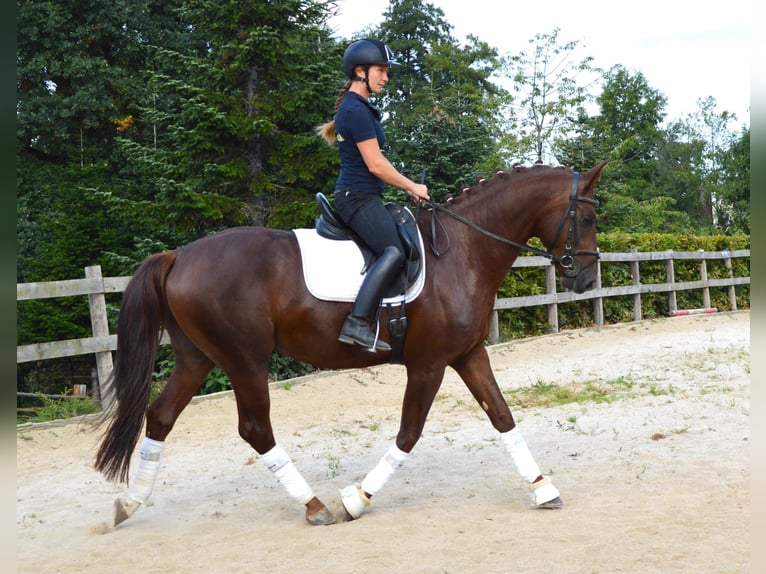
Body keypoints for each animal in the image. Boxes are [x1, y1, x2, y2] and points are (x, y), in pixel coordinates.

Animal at [94, 161, 608, 528]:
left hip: (198, 357)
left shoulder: (467, 355)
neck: (463, 250)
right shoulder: (428, 364)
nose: (585, 279)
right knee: (255, 429)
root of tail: (180, 255)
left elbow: (502, 415)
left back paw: (129, 504)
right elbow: (409, 433)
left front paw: (542, 488)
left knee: (160, 416)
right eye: (585, 216)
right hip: (244, 360)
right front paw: (357, 499)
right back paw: (315, 505)